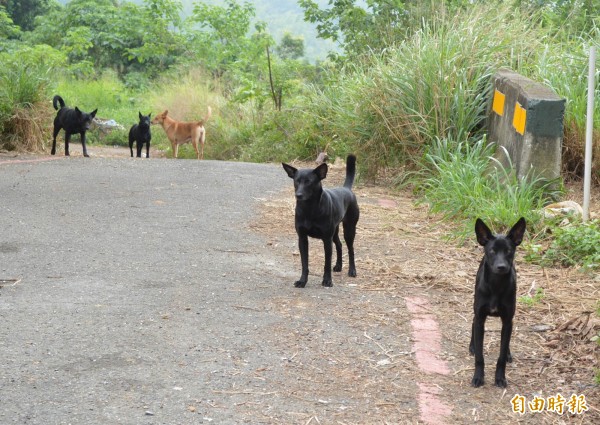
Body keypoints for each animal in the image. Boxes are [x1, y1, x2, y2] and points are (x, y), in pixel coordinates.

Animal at [282, 154, 360, 286]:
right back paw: (338, 266)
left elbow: (327, 263)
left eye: (309, 181)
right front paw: (302, 281)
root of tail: (347, 189)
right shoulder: (302, 239)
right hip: (335, 231)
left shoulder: (326, 239)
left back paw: (352, 270)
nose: (298, 195)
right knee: (339, 244)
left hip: (349, 229)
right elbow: (304, 263)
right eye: (296, 181)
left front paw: (327, 280)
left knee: (351, 249)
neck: (310, 209)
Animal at [468, 217, 524, 386]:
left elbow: (501, 355)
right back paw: (472, 346)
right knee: (472, 322)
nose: (501, 267)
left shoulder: (507, 320)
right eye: (492, 251)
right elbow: (480, 357)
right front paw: (478, 377)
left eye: (509, 251)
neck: (496, 285)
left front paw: (500, 377)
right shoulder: (480, 317)